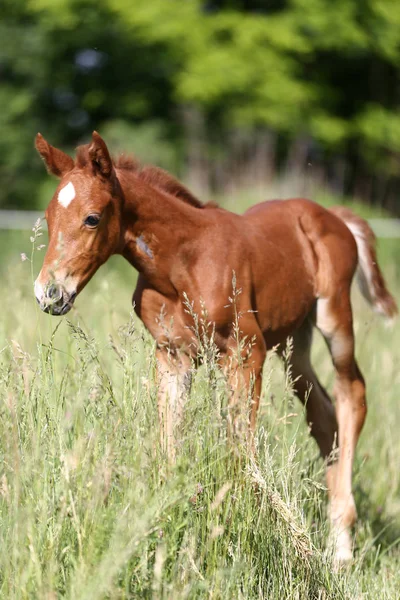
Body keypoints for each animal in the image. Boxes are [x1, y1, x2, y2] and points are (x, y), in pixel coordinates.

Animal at [35, 130, 396, 564]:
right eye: (48, 219)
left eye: (92, 218)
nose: (49, 292)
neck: (183, 262)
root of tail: (333, 214)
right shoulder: (173, 355)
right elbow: (169, 443)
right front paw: (166, 527)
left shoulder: (246, 351)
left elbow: (240, 447)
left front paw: (244, 527)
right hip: (294, 342)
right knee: (323, 414)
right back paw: (334, 537)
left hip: (334, 318)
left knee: (351, 394)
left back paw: (342, 546)